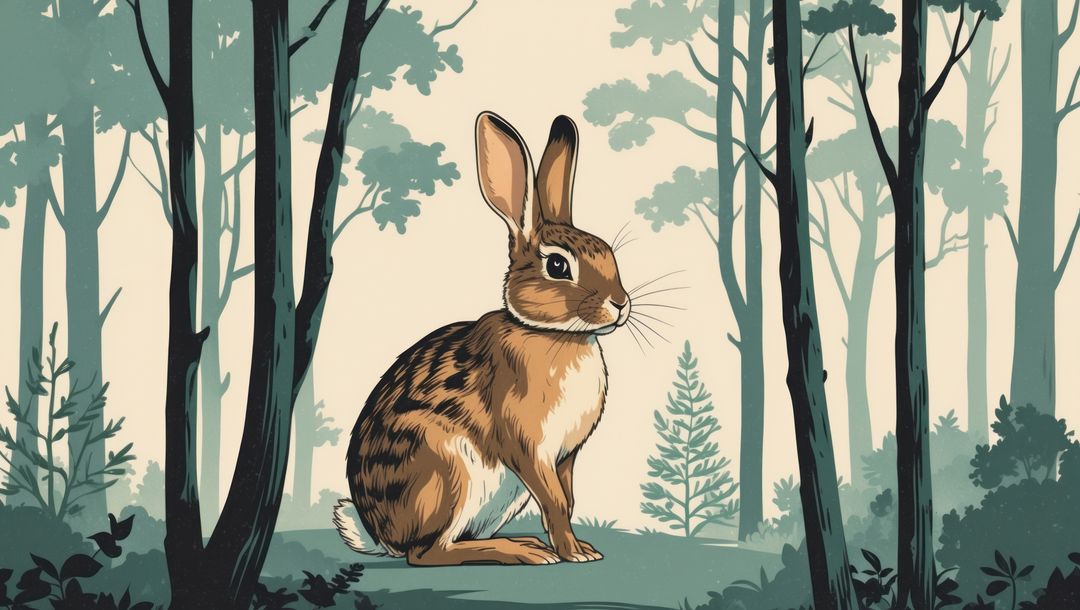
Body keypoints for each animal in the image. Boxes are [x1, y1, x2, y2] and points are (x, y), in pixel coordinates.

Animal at [333, 111, 631, 566]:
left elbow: (567, 500)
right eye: (558, 265)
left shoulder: (566, 456)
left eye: (608, 254)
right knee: (427, 553)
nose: (620, 304)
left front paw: (580, 549)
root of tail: (381, 535)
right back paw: (522, 551)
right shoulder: (526, 445)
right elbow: (555, 501)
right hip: (445, 469)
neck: (552, 335)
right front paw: (571, 554)